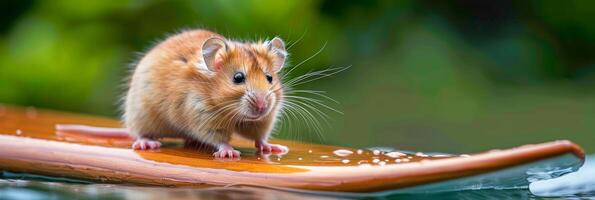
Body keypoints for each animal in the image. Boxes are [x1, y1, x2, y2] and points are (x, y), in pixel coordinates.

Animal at [57, 29, 288, 158]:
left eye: (269, 78)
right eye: (238, 78)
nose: (262, 106)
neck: (234, 114)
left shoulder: (261, 121)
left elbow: (259, 137)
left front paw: (274, 148)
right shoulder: (200, 115)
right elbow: (219, 138)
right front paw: (229, 152)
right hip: (141, 114)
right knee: (138, 133)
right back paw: (148, 143)